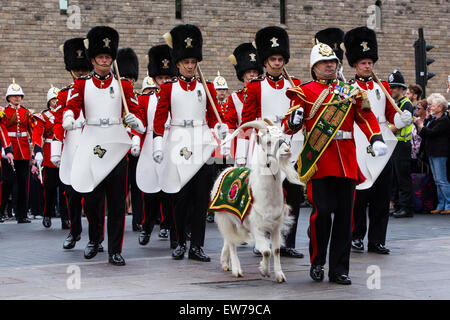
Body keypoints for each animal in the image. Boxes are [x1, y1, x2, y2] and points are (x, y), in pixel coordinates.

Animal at [210, 119, 302, 282]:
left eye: (283, 136)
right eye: (269, 141)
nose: (287, 150)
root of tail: (225, 171)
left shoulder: (275, 226)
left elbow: (276, 250)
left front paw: (280, 275)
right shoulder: (257, 227)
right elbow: (266, 251)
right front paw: (264, 271)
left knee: (229, 239)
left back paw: (225, 263)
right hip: (224, 218)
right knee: (232, 242)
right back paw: (237, 270)